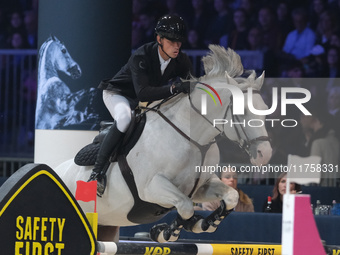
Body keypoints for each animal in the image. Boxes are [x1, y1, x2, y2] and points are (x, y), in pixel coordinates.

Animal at [55, 45, 274, 243]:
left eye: (264, 109)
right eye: (241, 110)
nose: (265, 154)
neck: (192, 139)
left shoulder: (201, 186)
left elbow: (231, 197)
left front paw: (203, 223)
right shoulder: (151, 187)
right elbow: (185, 205)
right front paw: (165, 232)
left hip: (106, 226)